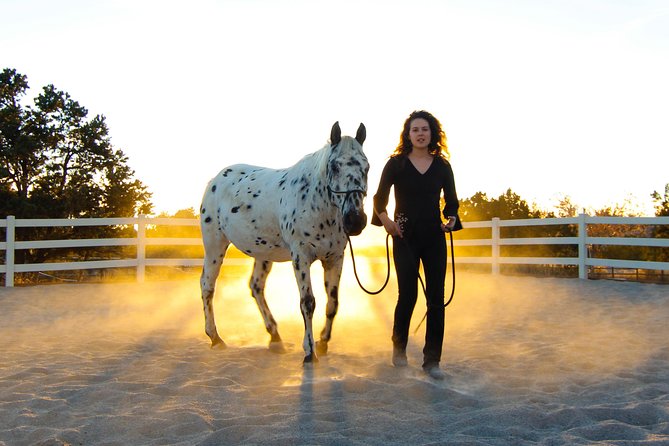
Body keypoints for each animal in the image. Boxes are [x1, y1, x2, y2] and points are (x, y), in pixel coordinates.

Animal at [200, 121, 366, 362]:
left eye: (367, 167)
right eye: (335, 166)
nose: (355, 220)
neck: (316, 203)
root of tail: (216, 179)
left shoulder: (334, 257)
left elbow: (332, 302)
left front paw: (323, 343)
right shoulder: (301, 256)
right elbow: (308, 302)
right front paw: (309, 352)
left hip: (263, 253)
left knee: (256, 286)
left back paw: (275, 336)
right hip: (215, 245)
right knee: (207, 285)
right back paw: (215, 338)